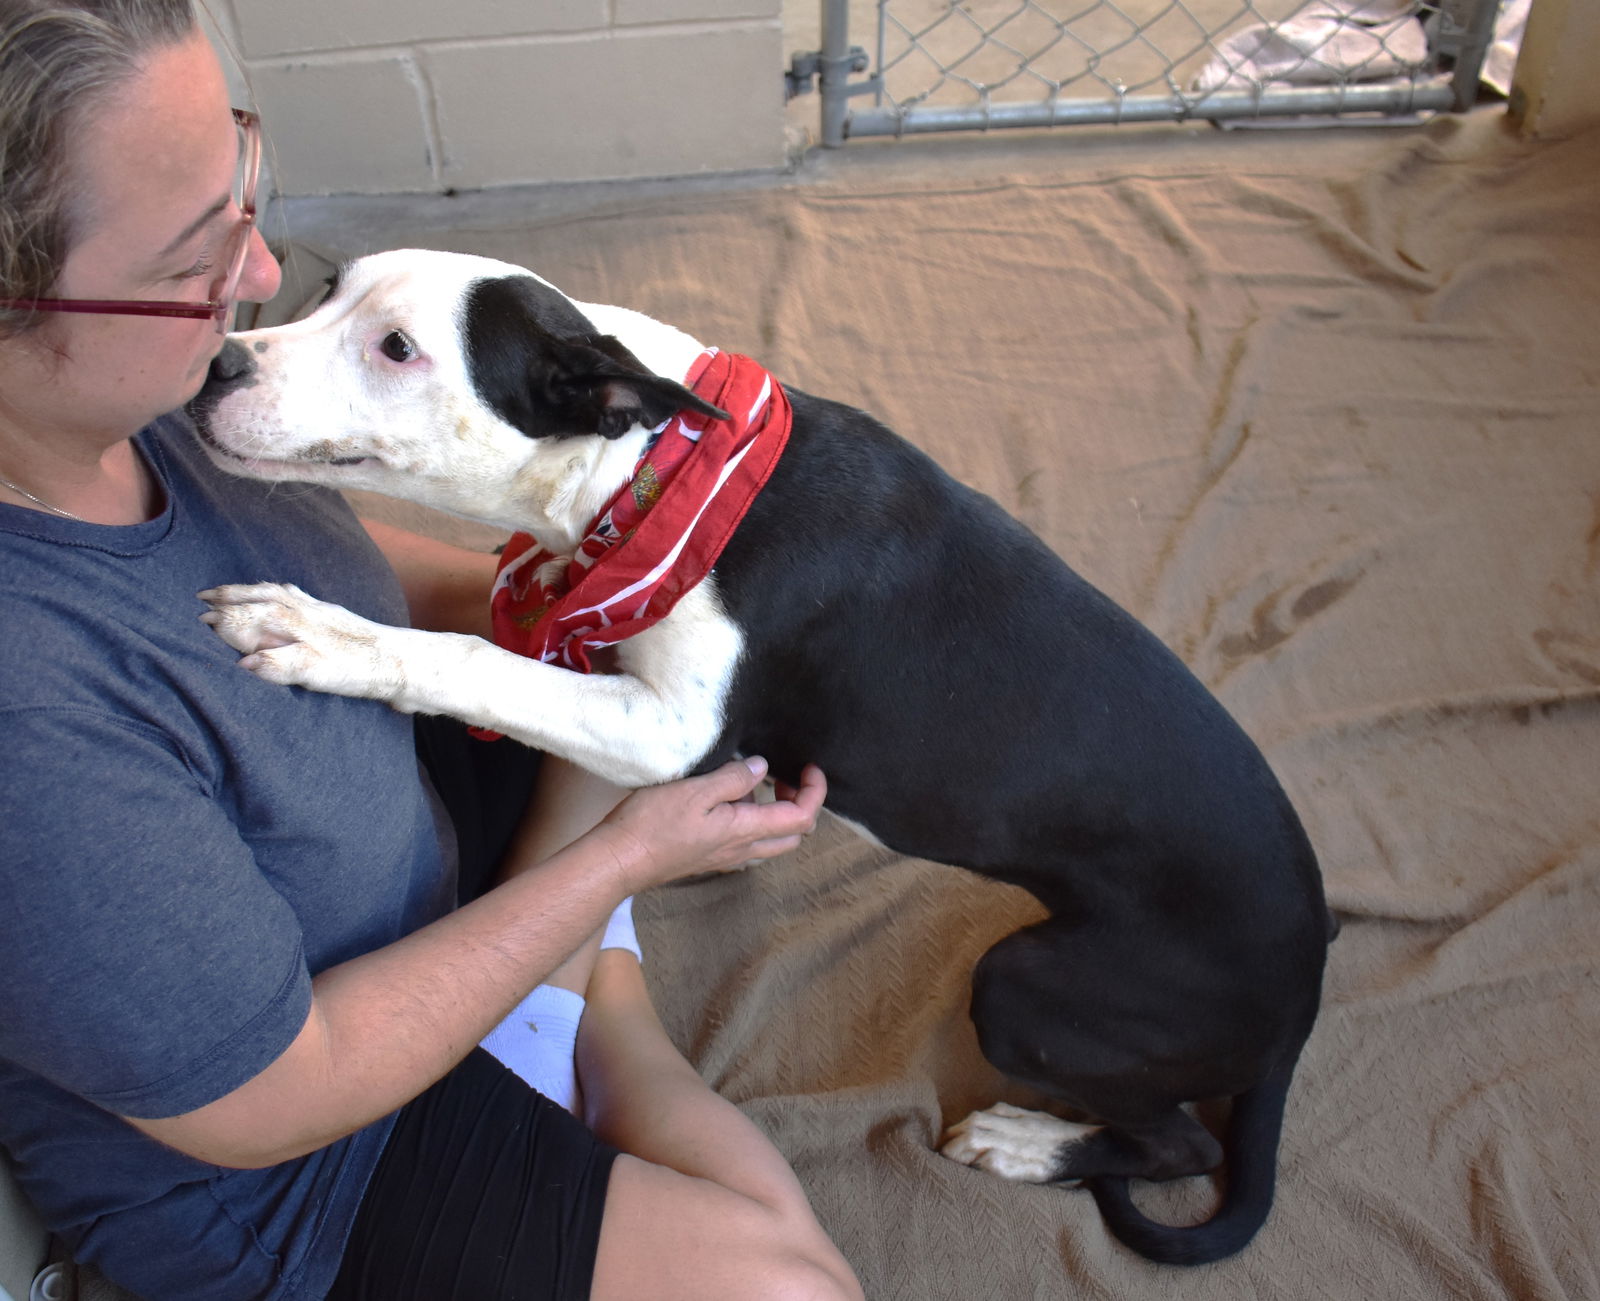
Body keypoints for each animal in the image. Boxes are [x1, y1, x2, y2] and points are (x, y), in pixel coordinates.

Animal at [190, 248, 1337, 1260]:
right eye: (323, 289)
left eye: (396, 348)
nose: (217, 364)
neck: (650, 463)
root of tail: (1305, 986)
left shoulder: (666, 730)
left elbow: (472, 656)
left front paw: (329, 637)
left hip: (1033, 986)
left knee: (1180, 1139)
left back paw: (1028, 1141)